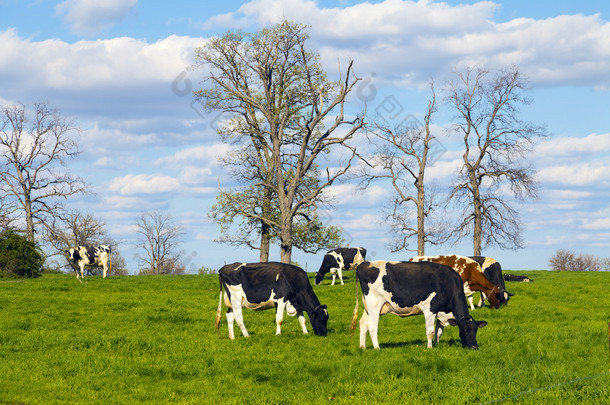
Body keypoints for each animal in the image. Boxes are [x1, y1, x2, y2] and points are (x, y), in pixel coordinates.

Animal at [352, 260, 484, 348]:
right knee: (372, 327)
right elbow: (430, 332)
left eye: (476, 330)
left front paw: (436, 345)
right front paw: (430, 348)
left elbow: (439, 332)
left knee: (363, 324)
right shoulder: (430, 309)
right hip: (374, 304)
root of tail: (364, 264)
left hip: (368, 307)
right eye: (464, 330)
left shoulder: (440, 311)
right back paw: (377, 348)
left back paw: (362, 348)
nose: (475, 347)